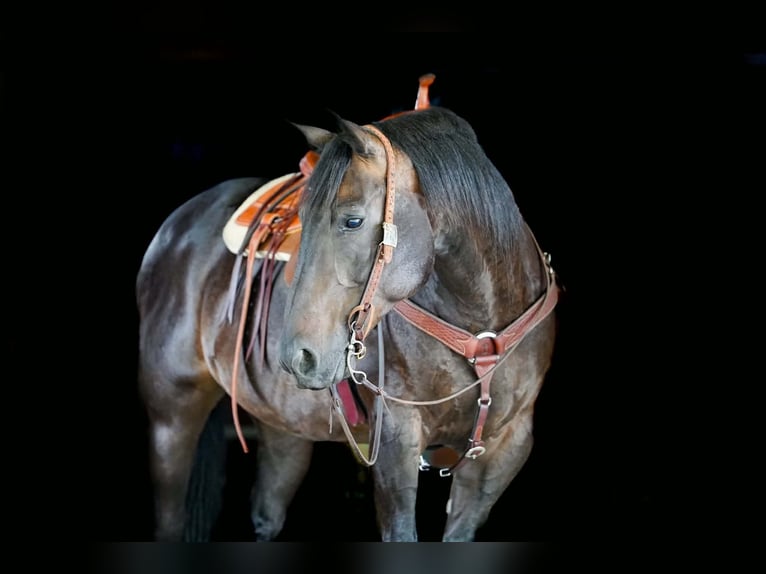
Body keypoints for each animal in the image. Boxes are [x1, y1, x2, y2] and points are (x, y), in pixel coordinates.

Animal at [136, 75, 561, 541]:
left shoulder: (503, 451)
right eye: (304, 218)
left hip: (282, 426)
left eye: (353, 221)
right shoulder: (395, 442)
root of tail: (175, 228)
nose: (298, 358)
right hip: (171, 418)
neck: (481, 326)